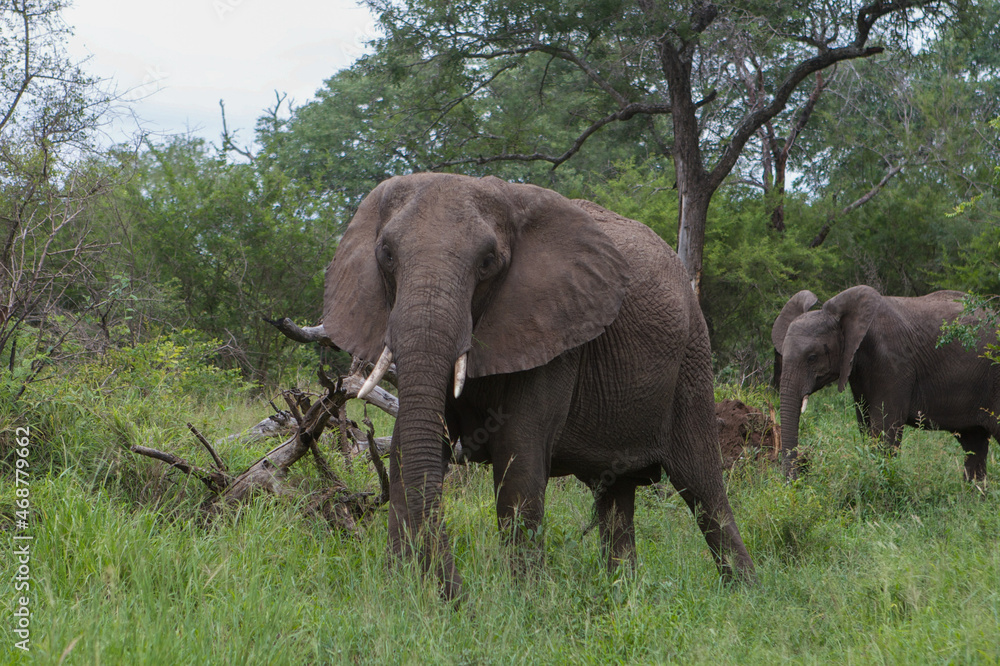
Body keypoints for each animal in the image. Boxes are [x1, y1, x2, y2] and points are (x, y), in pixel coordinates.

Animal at [322, 172, 755, 599]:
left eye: (488, 262)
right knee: (616, 494)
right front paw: (399, 594)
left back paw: (745, 592)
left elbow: (519, 461)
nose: (460, 597)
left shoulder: (555, 333)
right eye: (386, 255)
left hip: (692, 356)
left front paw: (525, 603)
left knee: (702, 486)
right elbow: (403, 454)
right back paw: (623, 596)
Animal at [772, 285, 1000, 481]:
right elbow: (866, 426)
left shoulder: (893, 363)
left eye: (812, 357)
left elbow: (884, 429)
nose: (796, 480)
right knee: (974, 443)